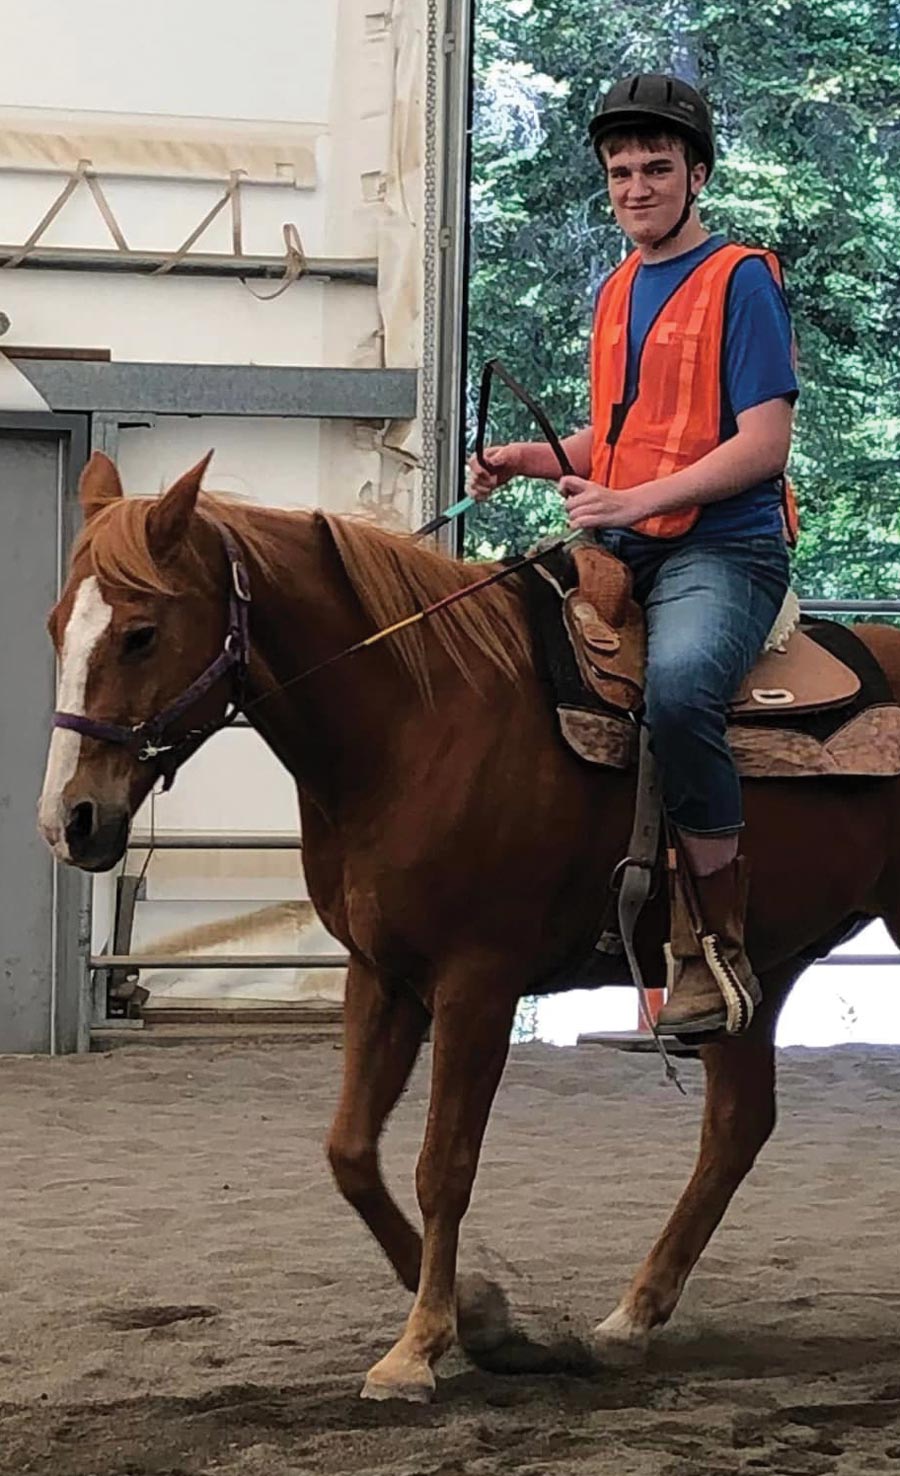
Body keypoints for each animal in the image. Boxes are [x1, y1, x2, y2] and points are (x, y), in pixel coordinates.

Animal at [38, 451, 900, 1403]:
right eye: (57, 628)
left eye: (140, 633)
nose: (71, 820)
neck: (418, 720)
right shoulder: (380, 972)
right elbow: (350, 1152)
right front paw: (487, 1319)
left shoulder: (476, 982)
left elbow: (442, 1165)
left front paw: (419, 1347)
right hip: (754, 974)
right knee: (737, 1127)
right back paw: (629, 1321)